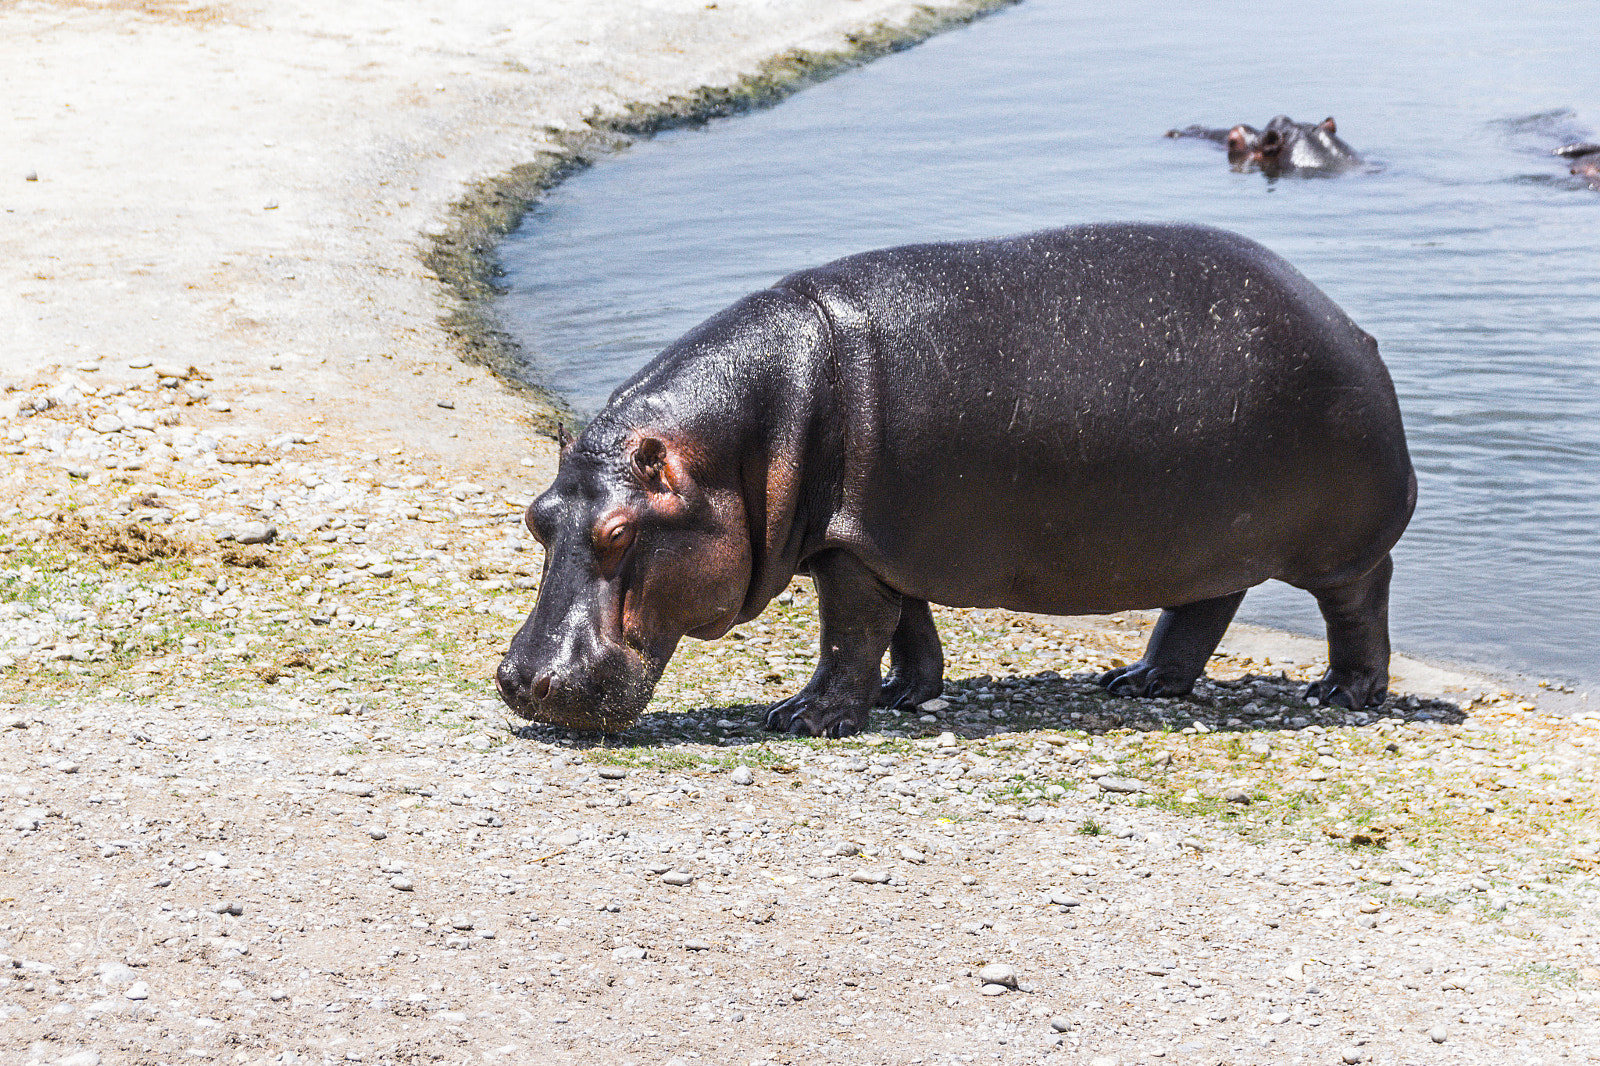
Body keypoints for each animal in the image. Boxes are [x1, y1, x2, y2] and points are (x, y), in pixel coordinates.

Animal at [496, 223, 1415, 738]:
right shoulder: (878, 536)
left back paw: (1343, 693)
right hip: (1209, 538)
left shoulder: (851, 546)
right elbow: (906, 622)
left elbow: (851, 631)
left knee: (1359, 599)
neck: (740, 445)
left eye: (621, 532)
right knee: (1205, 605)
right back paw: (1141, 681)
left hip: (1338, 544)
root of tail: (1350, 325)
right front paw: (908, 694)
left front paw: (805, 719)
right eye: (538, 519)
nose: (524, 682)